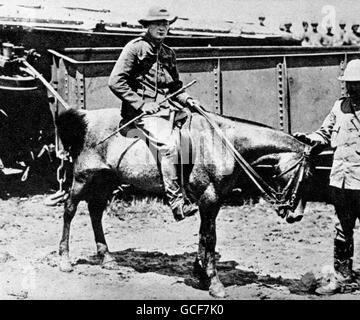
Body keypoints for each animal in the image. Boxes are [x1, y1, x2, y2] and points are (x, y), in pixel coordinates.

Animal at [54, 107, 316, 298]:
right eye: (307, 175)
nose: (297, 215)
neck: (224, 142)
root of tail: (86, 117)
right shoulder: (210, 198)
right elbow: (210, 237)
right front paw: (214, 283)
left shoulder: (211, 201)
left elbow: (203, 235)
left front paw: (200, 273)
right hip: (83, 178)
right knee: (69, 210)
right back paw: (65, 260)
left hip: (106, 180)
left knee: (95, 212)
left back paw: (107, 258)